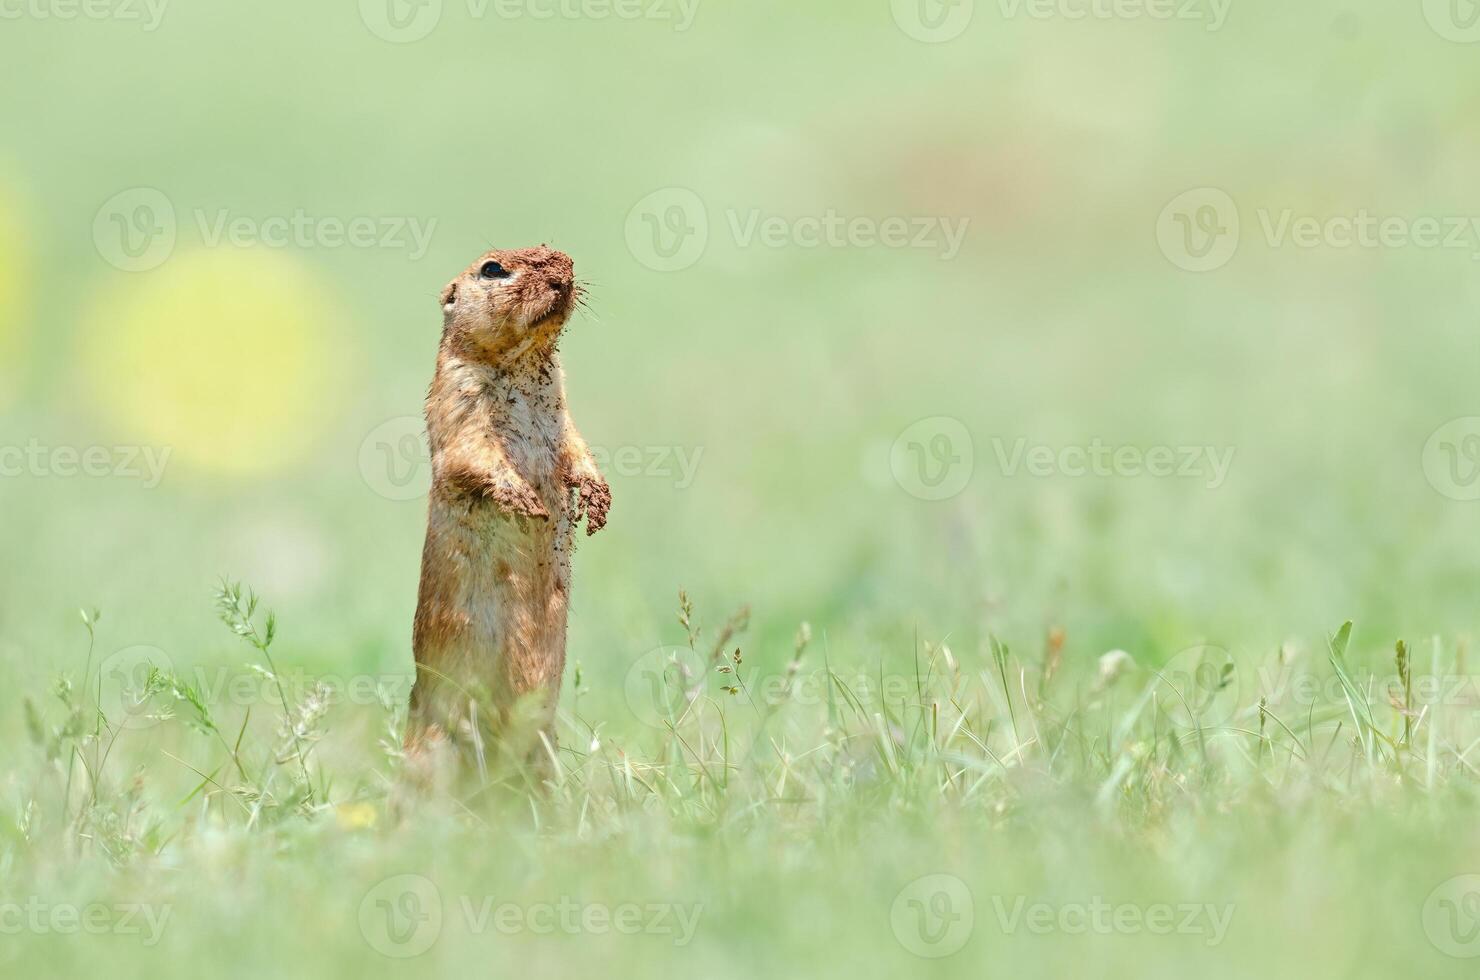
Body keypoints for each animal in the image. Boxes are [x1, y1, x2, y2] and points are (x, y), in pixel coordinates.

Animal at [405, 245, 606, 775]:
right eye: (492, 269)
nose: (564, 268)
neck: (524, 362)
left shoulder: (564, 407)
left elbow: (577, 446)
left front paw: (597, 499)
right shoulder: (457, 398)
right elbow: (469, 453)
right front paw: (526, 500)